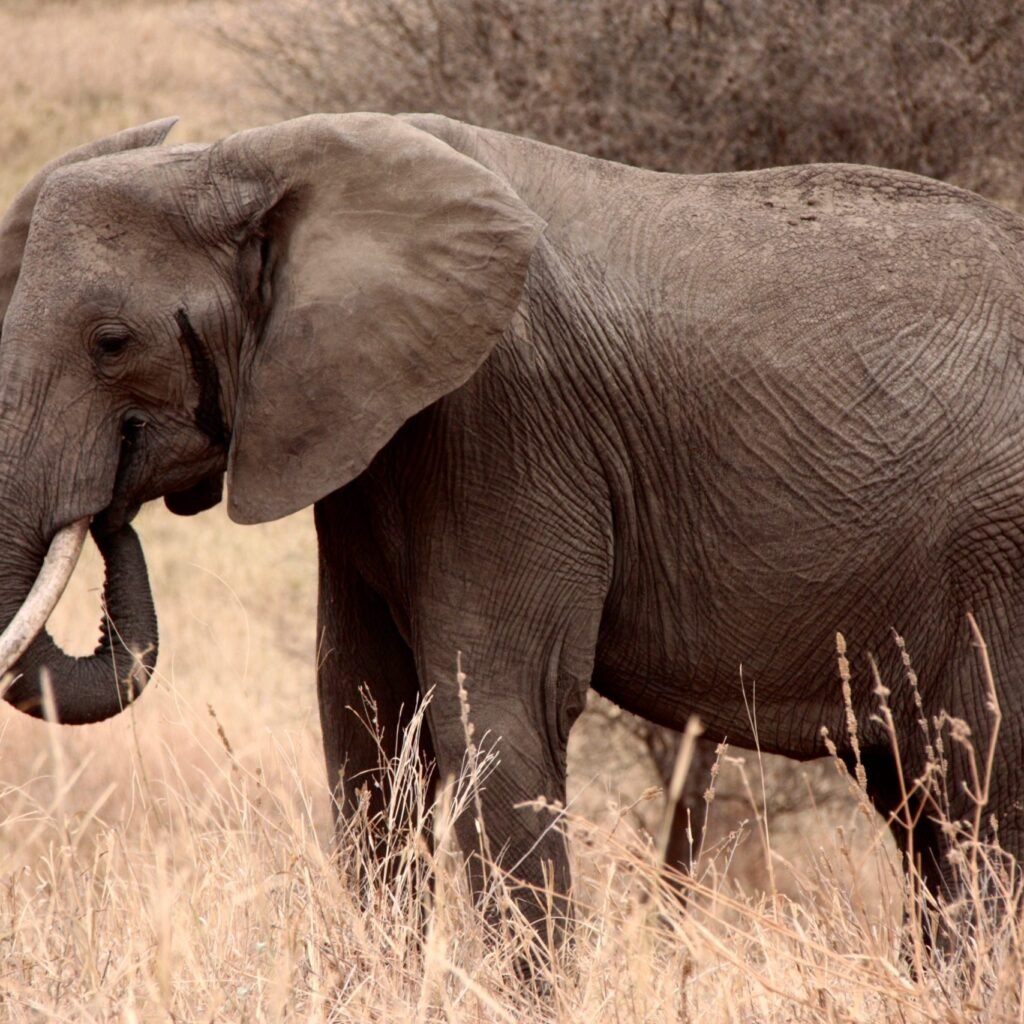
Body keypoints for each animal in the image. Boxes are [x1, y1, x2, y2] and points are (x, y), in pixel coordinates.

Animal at [1, 112, 1022, 945]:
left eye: (111, 343)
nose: (111, 509)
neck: (254, 156)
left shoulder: (504, 423)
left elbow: (494, 712)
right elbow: (362, 719)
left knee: (984, 797)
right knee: (927, 812)